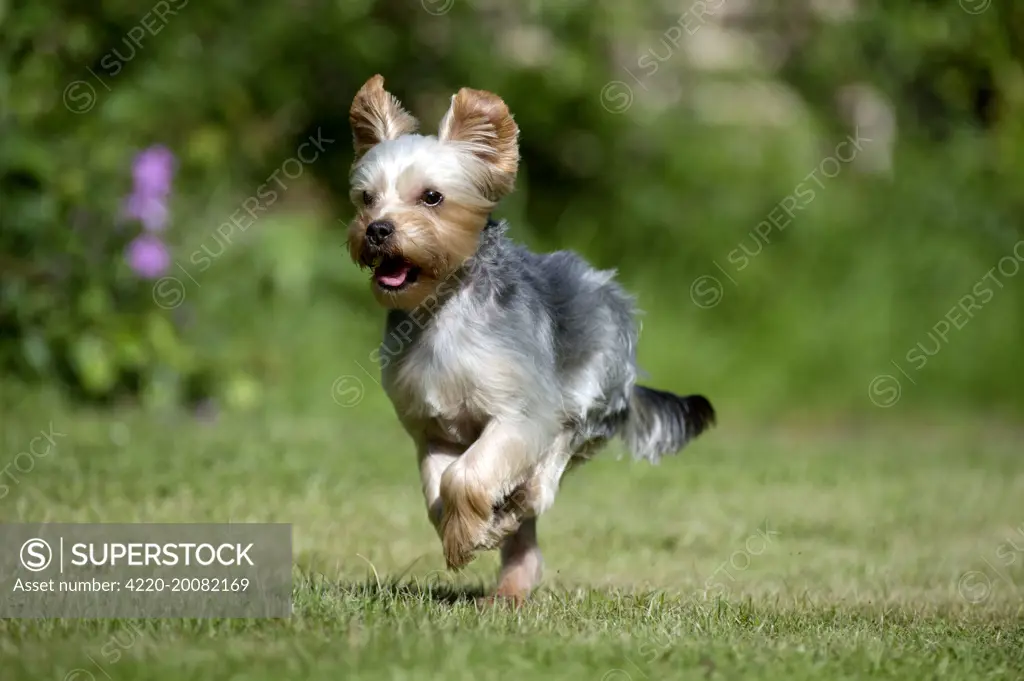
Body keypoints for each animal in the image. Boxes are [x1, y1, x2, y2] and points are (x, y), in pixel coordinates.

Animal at [344, 74, 712, 602]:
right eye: (366, 198)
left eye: (432, 197)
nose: (376, 230)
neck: (444, 308)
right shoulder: (431, 430)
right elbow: (438, 490)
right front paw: (466, 533)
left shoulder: (519, 417)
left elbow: (466, 476)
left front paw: (468, 534)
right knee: (524, 525)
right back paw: (511, 581)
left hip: (584, 402)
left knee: (543, 480)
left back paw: (516, 508)